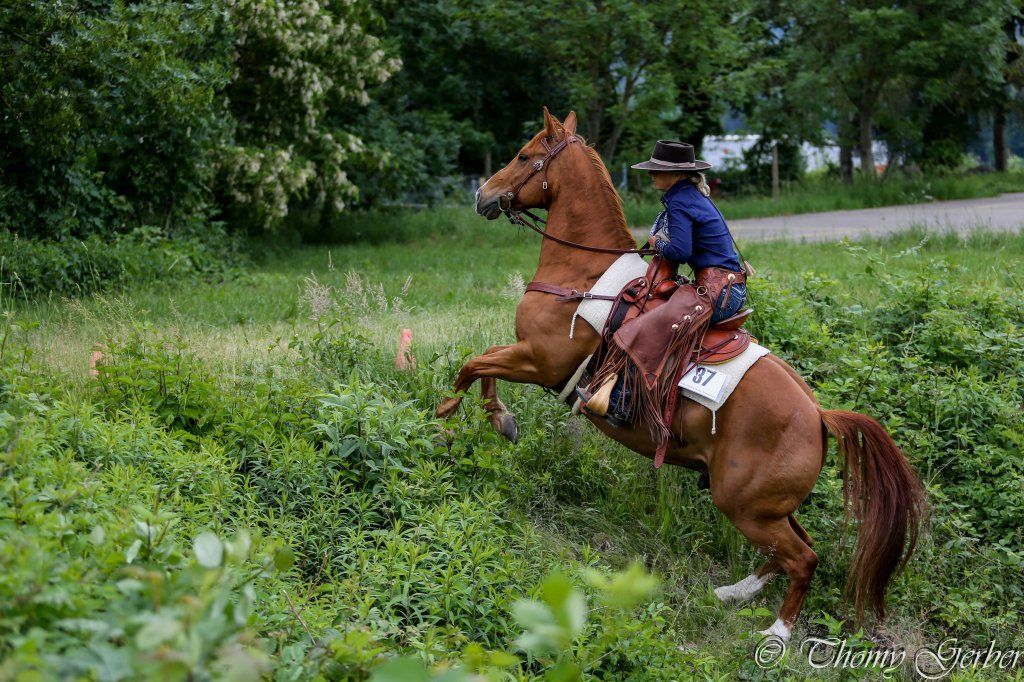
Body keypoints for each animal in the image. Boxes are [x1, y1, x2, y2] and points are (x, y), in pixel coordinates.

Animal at [436, 108, 924, 641]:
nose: (482, 194)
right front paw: (497, 419)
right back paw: (733, 593)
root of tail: (819, 415)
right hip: (767, 505)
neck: (583, 277)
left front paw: (450, 417)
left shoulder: (539, 360)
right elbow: (483, 360)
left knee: (803, 558)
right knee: (793, 547)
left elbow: (474, 363)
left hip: (745, 505)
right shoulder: (528, 357)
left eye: (525, 156)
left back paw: (776, 632)